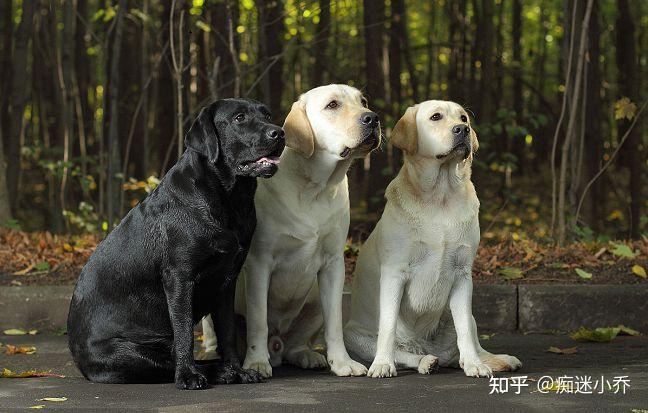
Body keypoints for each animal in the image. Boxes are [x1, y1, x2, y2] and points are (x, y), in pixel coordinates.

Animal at [66, 98, 286, 388]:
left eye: (267, 115)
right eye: (239, 118)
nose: (279, 133)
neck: (229, 200)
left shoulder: (227, 282)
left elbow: (227, 332)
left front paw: (237, 370)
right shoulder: (180, 278)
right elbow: (184, 334)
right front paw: (188, 376)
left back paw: (224, 371)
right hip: (129, 353)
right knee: (166, 362)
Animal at [201, 83, 380, 376]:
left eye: (363, 101)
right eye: (332, 105)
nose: (373, 118)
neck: (315, 188)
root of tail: (278, 346)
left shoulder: (333, 264)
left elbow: (335, 324)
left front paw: (342, 362)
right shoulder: (259, 263)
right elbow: (258, 321)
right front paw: (257, 361)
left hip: (315, 299)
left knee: (295, 344)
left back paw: (306, 355)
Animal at [344, 100, 520, 376]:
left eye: (463, 118)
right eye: (436, 117)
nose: (463, 129)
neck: (441, 196)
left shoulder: (462, 274)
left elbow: (464, 330)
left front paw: (474, 365)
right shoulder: (394, 272)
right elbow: (388, 328)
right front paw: (382, 364)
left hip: (466, 315)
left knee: (468, 339)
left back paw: (492, 360)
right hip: (353, 335)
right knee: (403, 351)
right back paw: (424, 360)